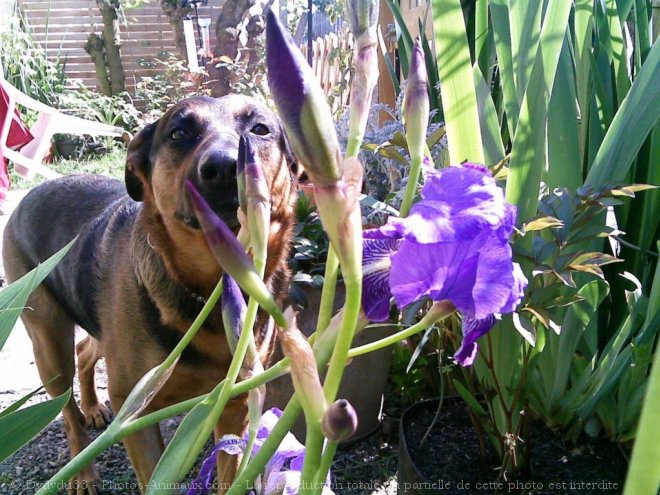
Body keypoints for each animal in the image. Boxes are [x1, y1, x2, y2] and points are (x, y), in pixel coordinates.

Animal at [2, 95, 296, 494]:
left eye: (260, 129)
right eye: (178, 132)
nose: (224, 167)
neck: (212, 291)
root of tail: (29, 194)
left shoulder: (235, 401)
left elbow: (227, 471)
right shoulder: (134, 409)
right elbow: (152, 474)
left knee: (84, 351)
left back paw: (92, 407)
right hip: (47, 341)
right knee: (65, 404)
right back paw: (82, 469)